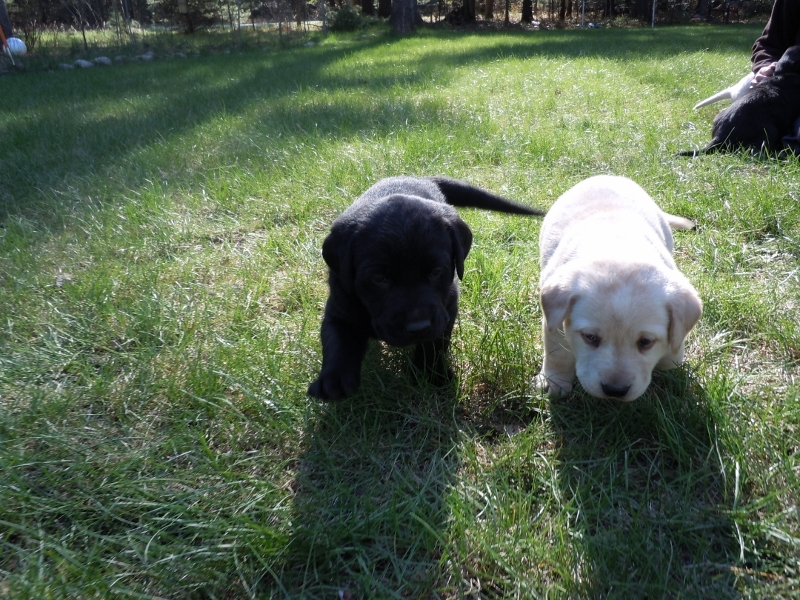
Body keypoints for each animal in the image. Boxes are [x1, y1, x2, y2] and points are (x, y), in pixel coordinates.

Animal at [306, 176, 544, 400]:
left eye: (436, 271)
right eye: (379, 278)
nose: (418, 327)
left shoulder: (445, 309)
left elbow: (434, 345)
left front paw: (432, 375)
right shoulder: (341, 305)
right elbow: (338, 342)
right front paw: (333, 380)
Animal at [536, 176, 700, 400]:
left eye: (646, 342)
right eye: (590, 338)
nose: (615, 391)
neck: (618, 248)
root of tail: (606, 176)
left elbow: (673, 355)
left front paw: (671, 355)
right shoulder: (554, 322)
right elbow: (557, 353)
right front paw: (555, 383)